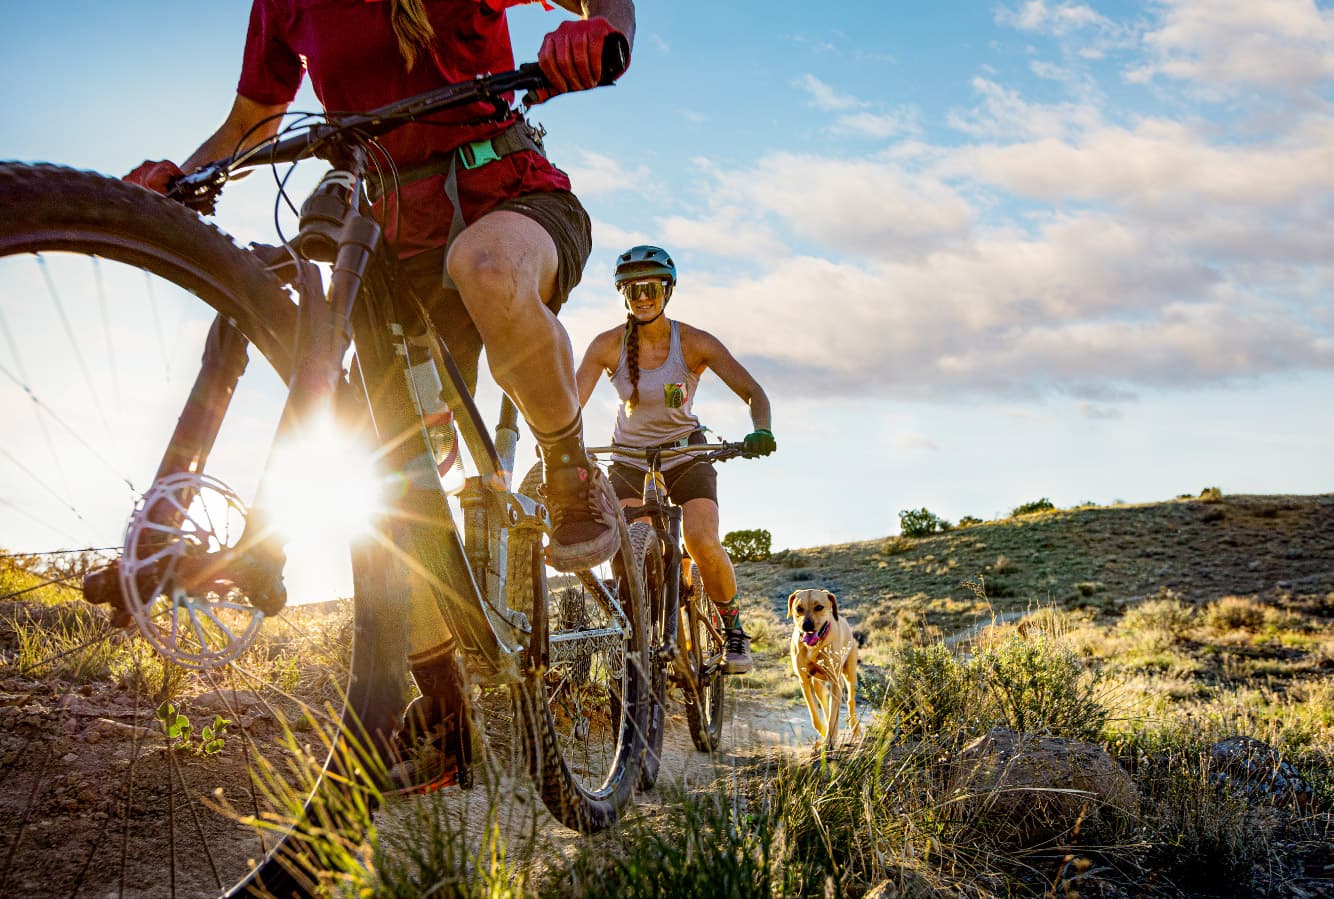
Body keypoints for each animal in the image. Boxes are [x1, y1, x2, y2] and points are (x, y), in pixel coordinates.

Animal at [788, 588, 861, 748]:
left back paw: (855, 728)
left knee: (850, 701)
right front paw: (824, 732)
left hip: (849, 674)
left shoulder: (835, 681)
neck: (815, 647)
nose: (807, 625)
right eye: (798, 608)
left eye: (819, 607)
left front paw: (829, 740)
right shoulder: (804, 680)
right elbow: (814, 713)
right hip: (818, 684)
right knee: (826, 706)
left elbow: (834, 715)